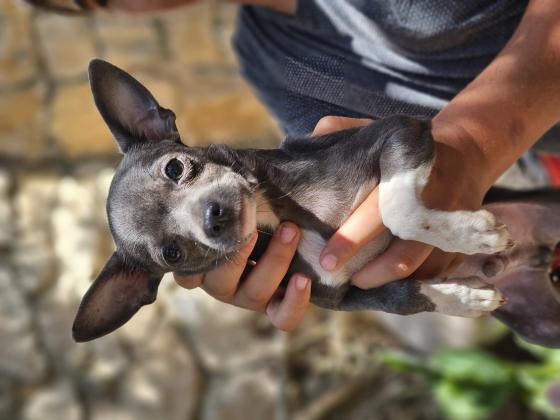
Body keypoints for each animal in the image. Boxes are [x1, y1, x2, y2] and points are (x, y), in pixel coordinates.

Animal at [72, 59, 560, 348]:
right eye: (171, 253)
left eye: (175, 168)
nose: (214, 217)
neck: (279, 216)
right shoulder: (347, 297)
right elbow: (405, 297)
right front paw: (463, 297)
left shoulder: (399, 130)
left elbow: (396, 210)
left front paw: (470, 234)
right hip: (545, 329)